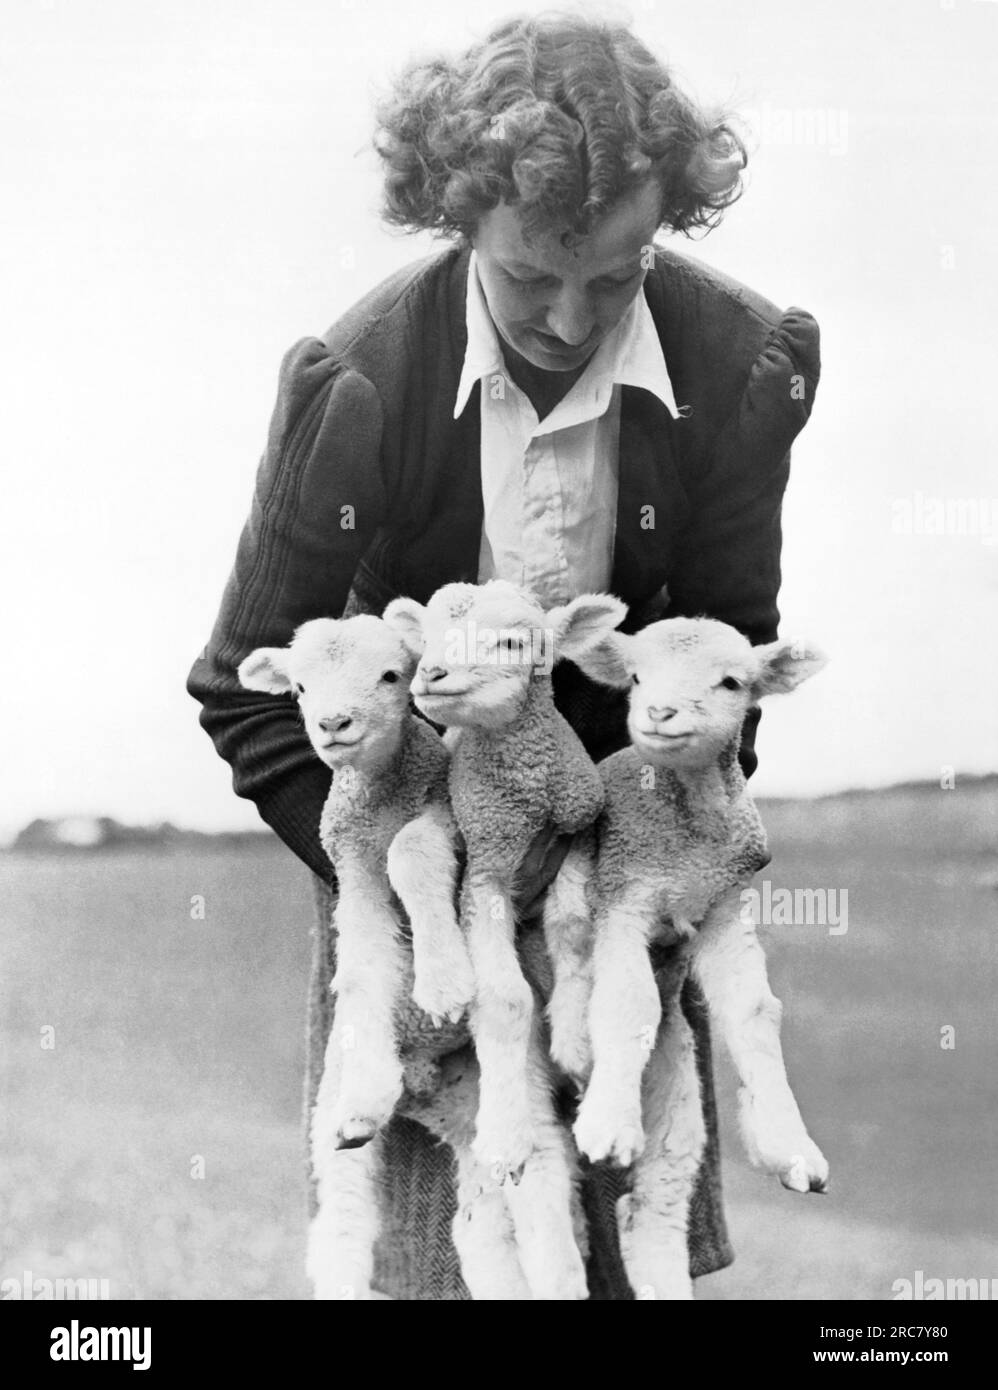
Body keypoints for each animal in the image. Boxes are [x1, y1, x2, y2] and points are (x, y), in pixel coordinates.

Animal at [542, 614, 833, 1295]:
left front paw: (791, 1144)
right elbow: (625, 1003)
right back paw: (579, 1050)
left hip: (677, 1075)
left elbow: (754, 1013)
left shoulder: (726, 907)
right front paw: (607, 1125)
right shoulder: (623, 898)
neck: (691, 837)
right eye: (635, 676)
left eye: (731, 683)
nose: (660, 711)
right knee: (571, 955)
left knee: (651, 1205)